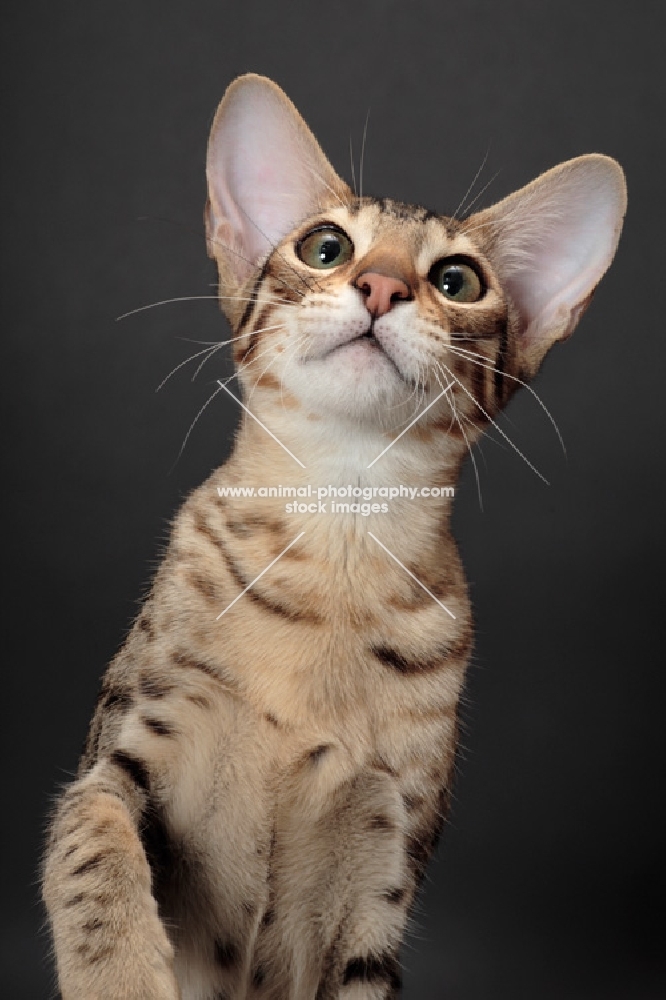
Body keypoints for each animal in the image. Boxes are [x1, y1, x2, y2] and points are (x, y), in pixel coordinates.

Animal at [41, 74, 624, 996]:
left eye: (457, 279)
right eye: (324, 248)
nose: (382, 287)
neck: (337, 537)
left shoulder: (385, 856)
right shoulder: (122, 751)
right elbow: (88, 850)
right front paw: (124, 975)